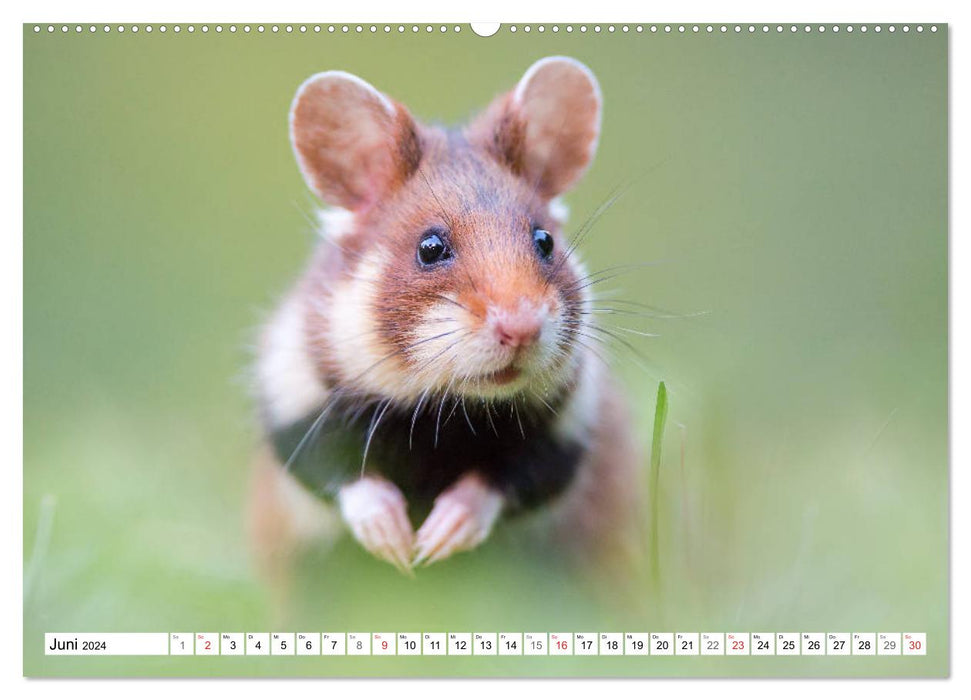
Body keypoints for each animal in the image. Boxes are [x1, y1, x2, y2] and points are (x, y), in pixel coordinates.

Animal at [249, 57, 644, 576]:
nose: (521, 329)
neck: (450, 412)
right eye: (430, 247)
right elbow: (344, 475)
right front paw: (399, 547)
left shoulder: (568, 431)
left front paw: (436, 541)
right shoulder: (293, 399)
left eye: (545, 241)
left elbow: (506, 481)